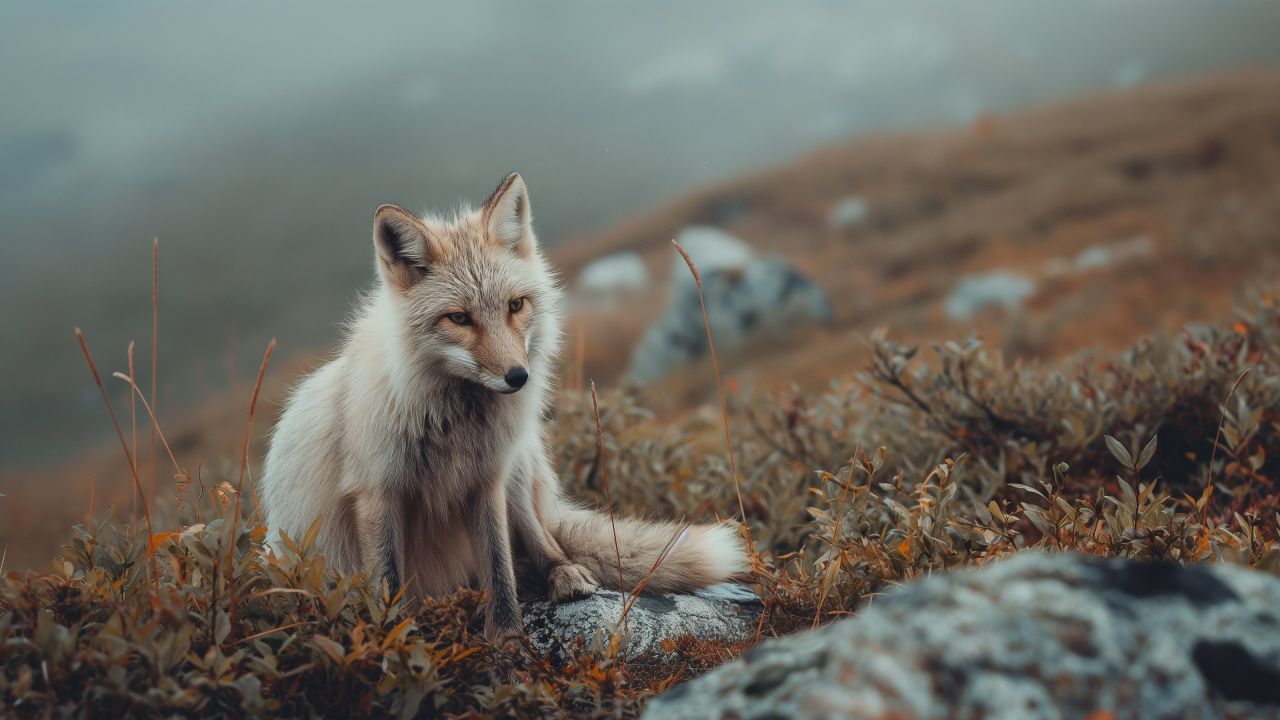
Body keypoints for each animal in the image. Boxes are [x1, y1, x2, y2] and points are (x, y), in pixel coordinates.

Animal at [260, 173, 748, 641]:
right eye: (459, 318)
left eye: (516, 305)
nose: (518, 377)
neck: (452, 426)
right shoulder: (377, 491)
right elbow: (388, 582)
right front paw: (391, 639)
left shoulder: (486, 480)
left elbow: (499, 568)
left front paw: (509, 641)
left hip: (520, 464)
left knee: (540, 538)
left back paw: (564, 574)